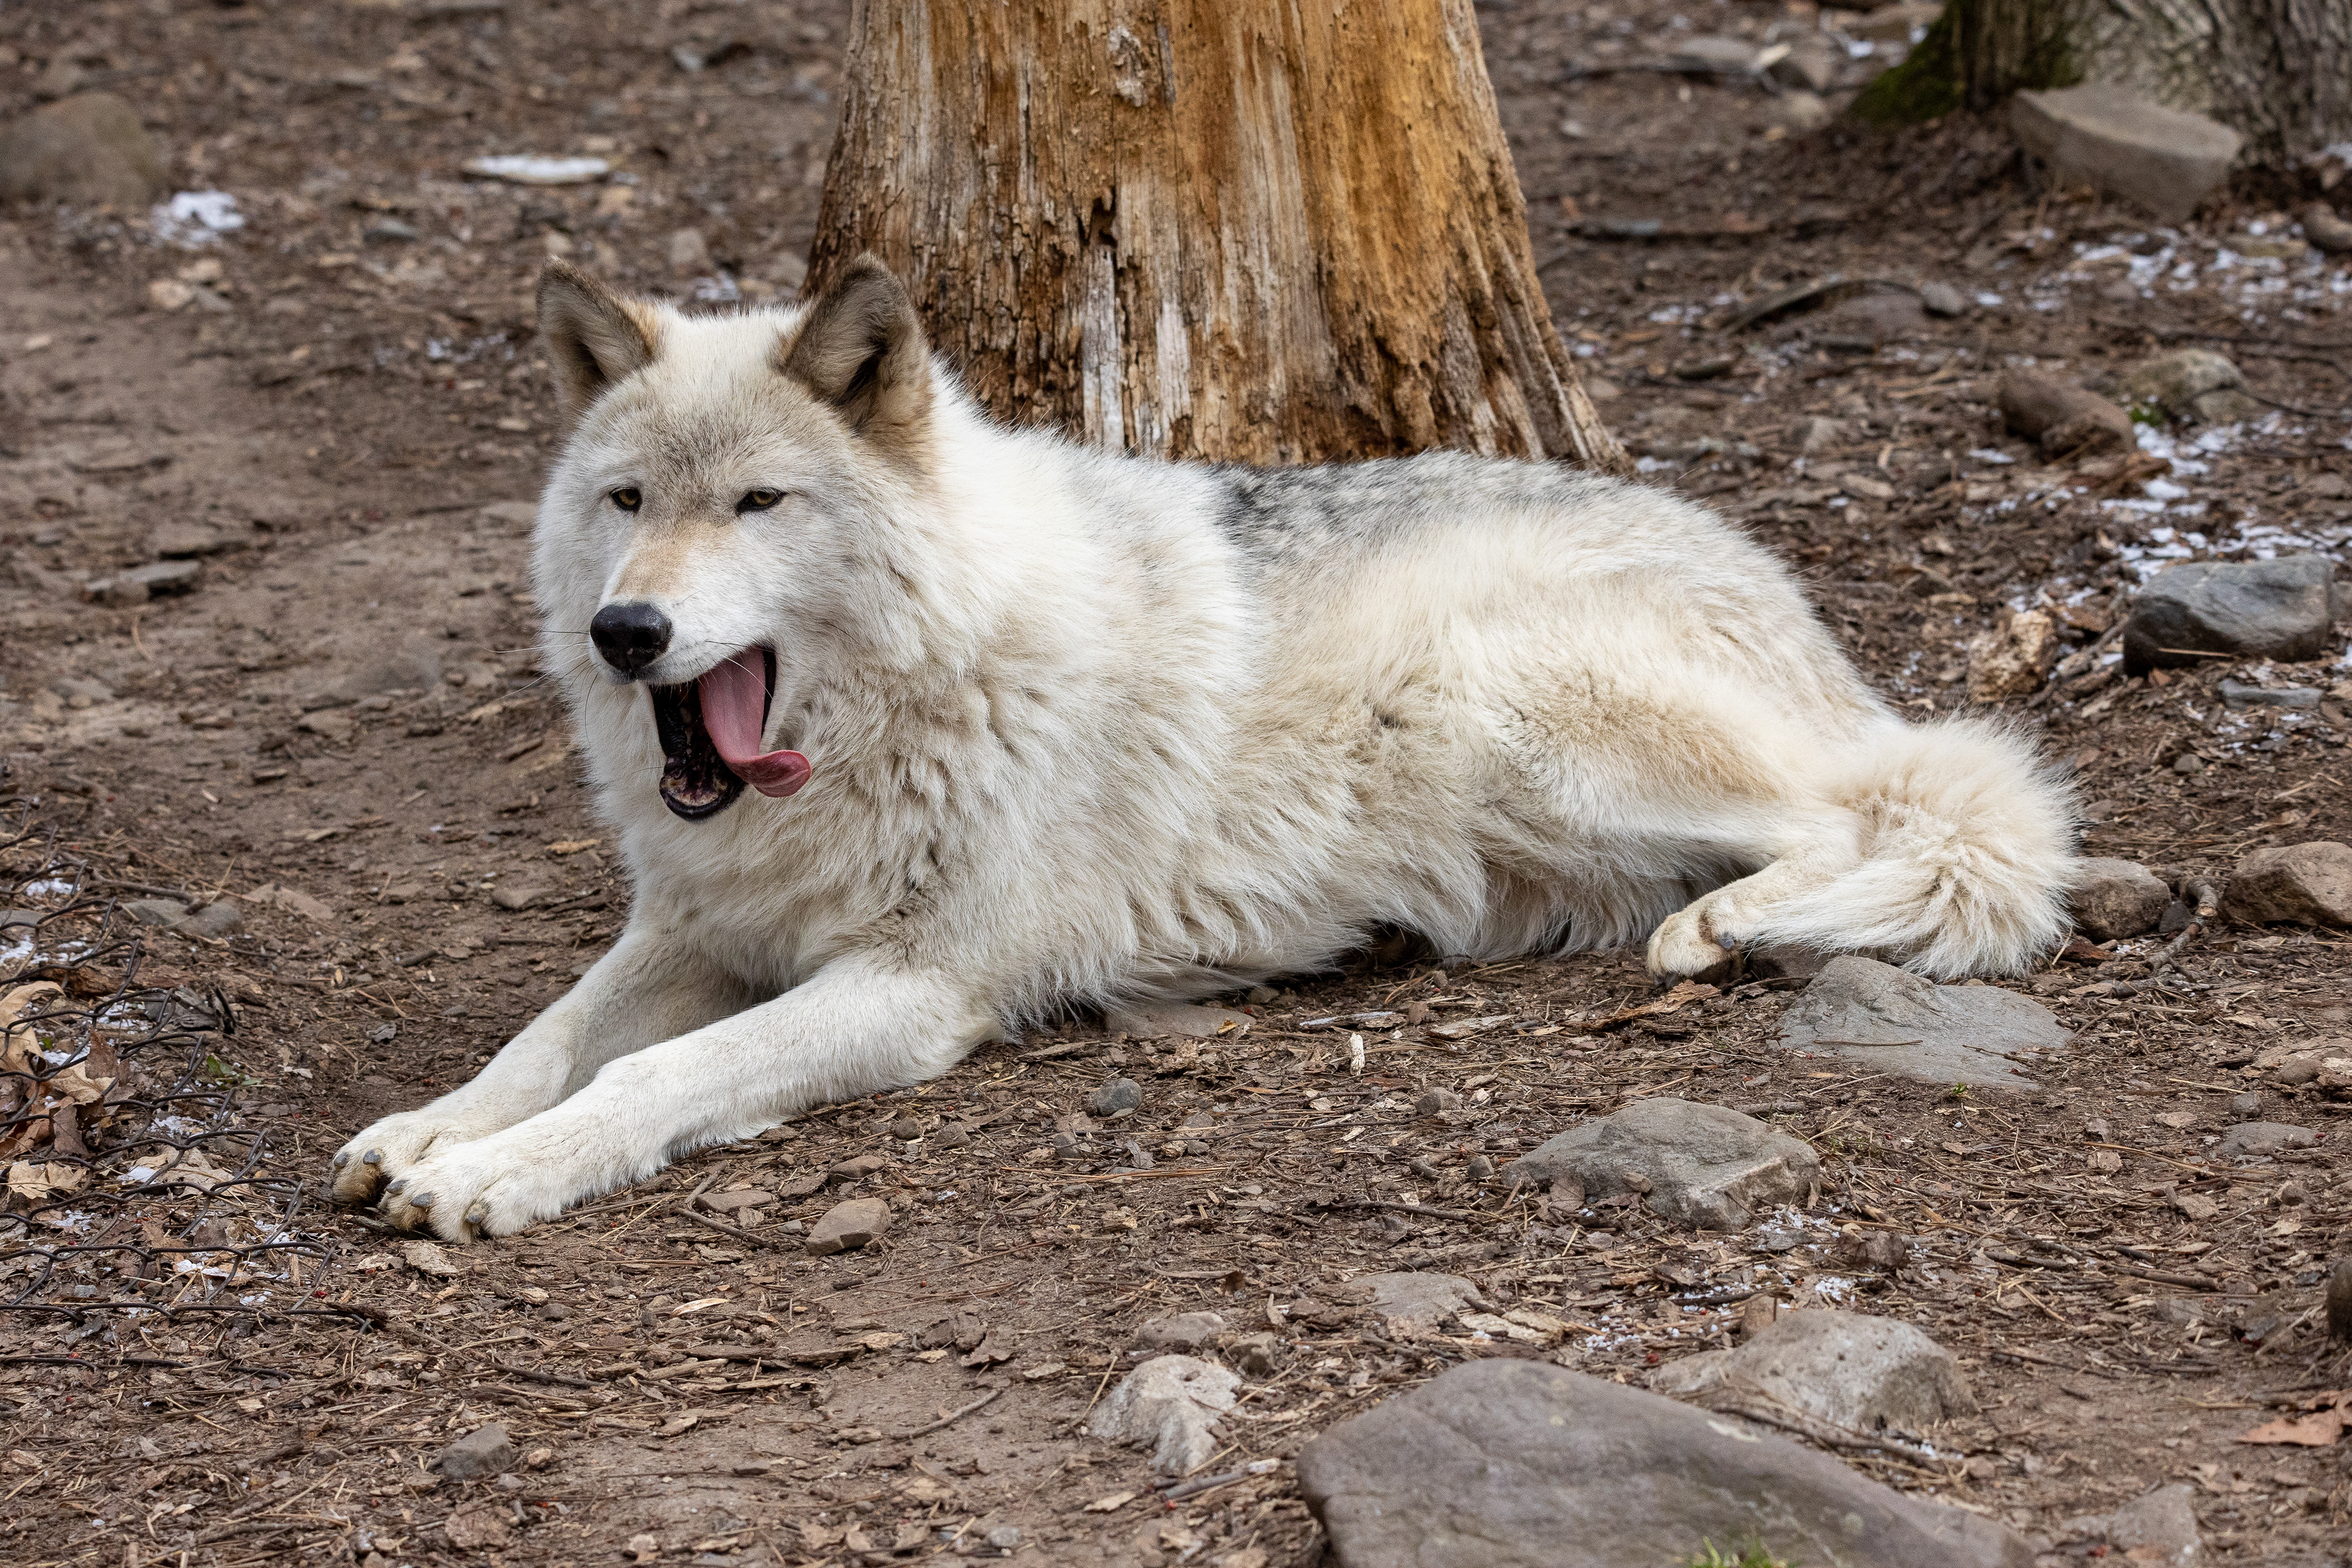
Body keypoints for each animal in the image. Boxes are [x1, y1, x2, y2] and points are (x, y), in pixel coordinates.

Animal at [329, 257, 2076, 1239]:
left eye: (758, 502)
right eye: (627, 499)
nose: (630, 630)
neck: (907, 703)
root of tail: (1775, 579)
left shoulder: (913, 986)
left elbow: (654, 1072)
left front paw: (496, 1175)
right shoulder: (696, 924)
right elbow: (550, 1035)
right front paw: (428, 1127)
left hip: (1517, 716)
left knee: (1877, 823)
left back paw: (1721, 929)